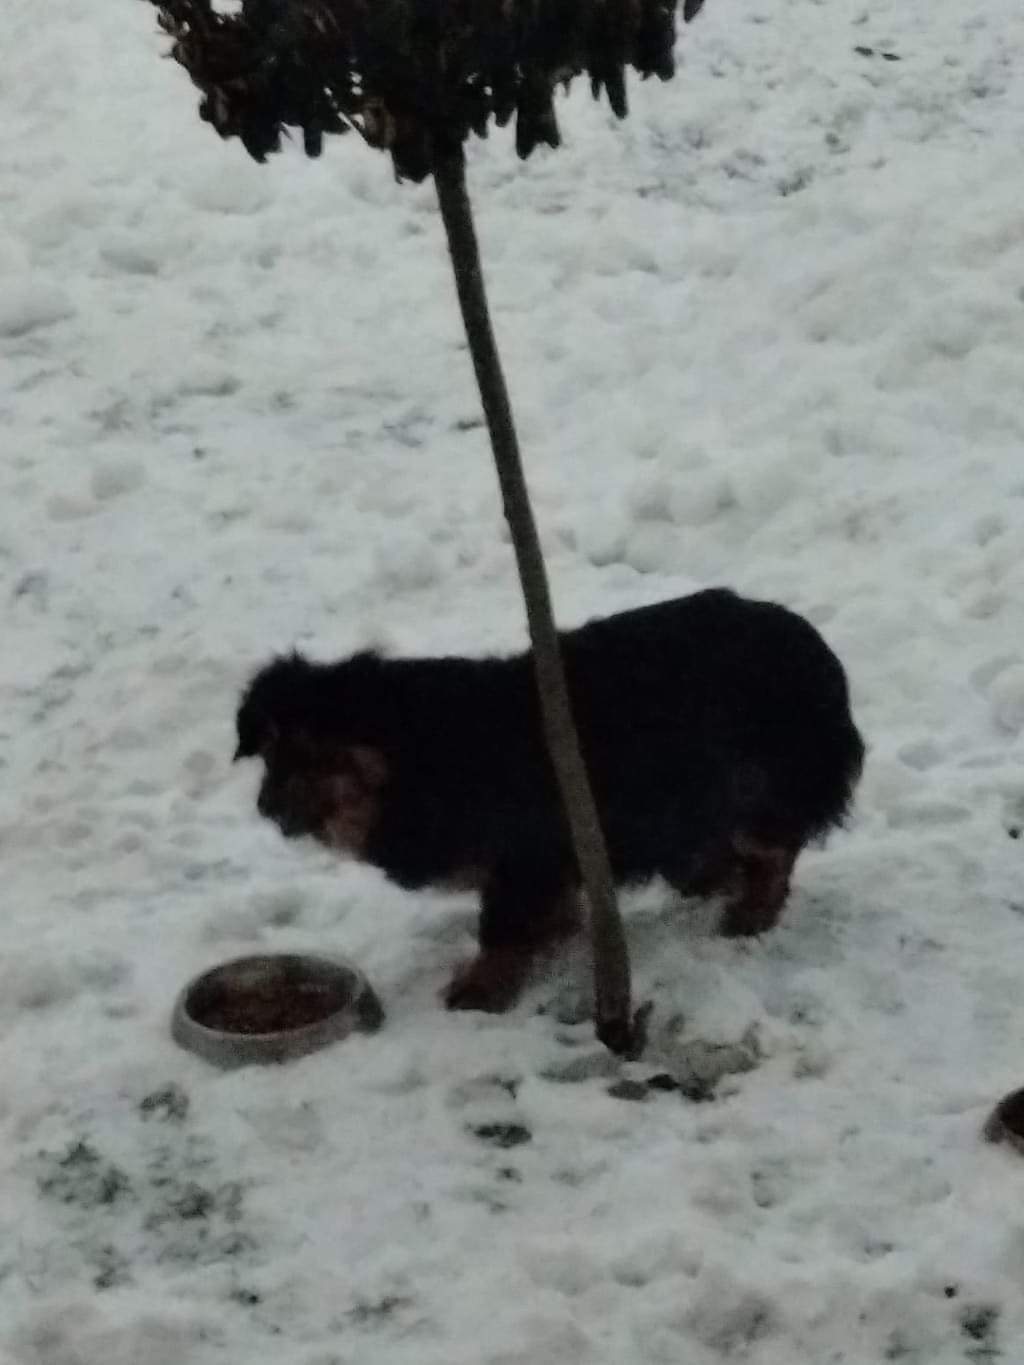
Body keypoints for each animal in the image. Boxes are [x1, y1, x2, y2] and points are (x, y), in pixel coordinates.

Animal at [234, 589, 864, 1012]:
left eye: (313, 757)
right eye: (270, 752)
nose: (266, 807)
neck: (419, 757)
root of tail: (814, 648)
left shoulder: (524, 857)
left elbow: (503, 930)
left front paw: (482, 988)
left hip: (753, 783)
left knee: (775, 847)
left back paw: (752, 909)